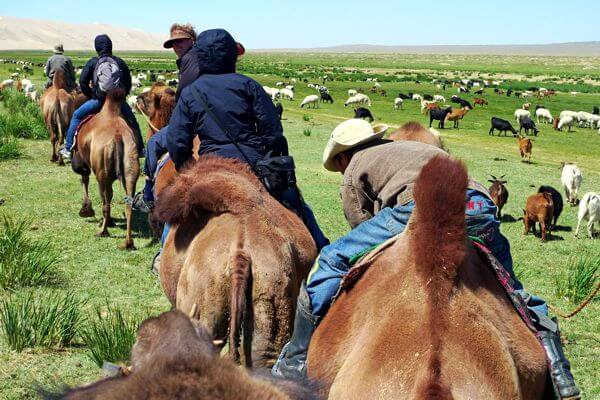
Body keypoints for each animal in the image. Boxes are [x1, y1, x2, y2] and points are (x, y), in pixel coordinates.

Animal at [71, 89, 139, 248]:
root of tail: (118, 136)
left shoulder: (82, 162)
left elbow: (84, 179)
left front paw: (86, 210)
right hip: (131, 163)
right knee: (128, 202)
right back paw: (127, 242)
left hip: (102, 172)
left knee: (105, 201)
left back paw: (103, 231)